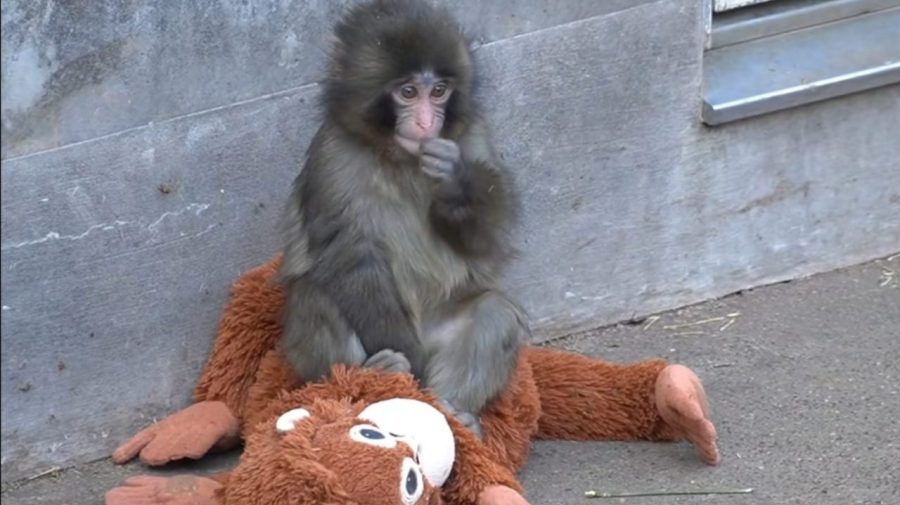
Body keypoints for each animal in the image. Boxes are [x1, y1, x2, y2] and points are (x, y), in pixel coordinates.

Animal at [277, 0, 527, 436]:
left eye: (438, 91)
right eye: (408, 92)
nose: (427, 123)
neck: (397, 155)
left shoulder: (472, 133)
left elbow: (485, 242)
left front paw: (456, 184)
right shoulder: (332, 154)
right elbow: (351, 256)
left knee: (493, 311)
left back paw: (455, 412)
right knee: (315, 293)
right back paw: (377, 374)